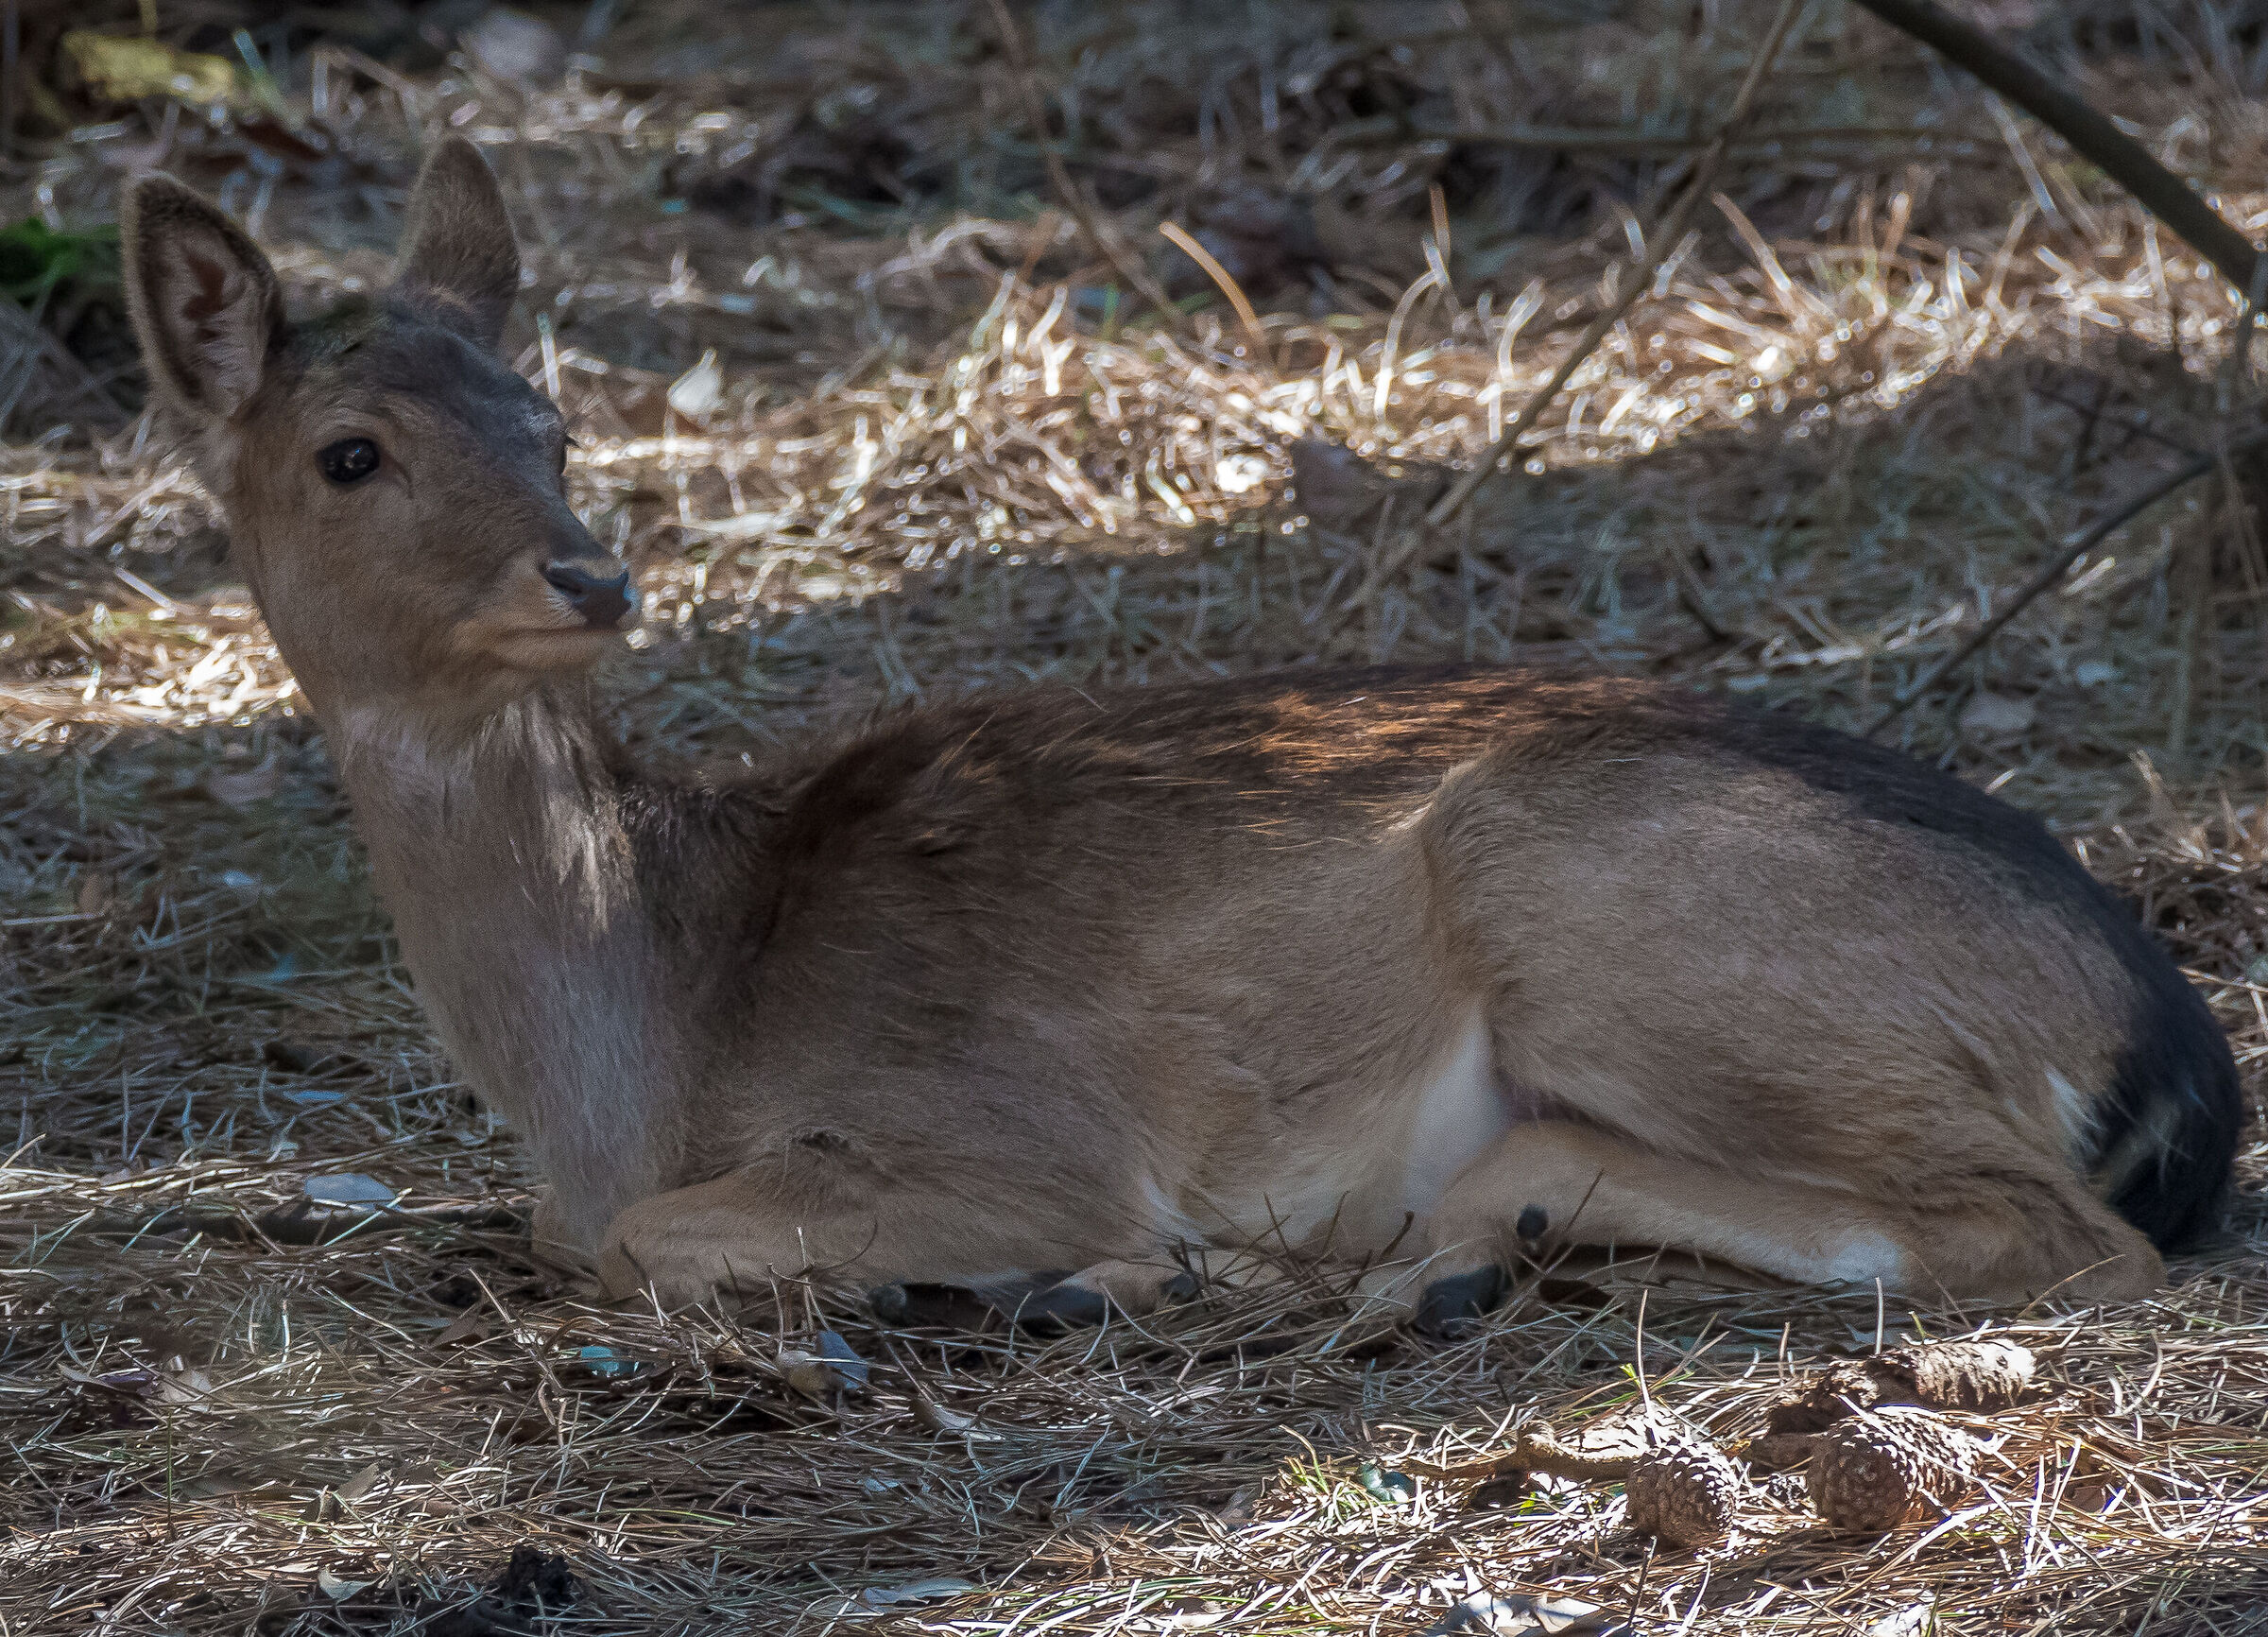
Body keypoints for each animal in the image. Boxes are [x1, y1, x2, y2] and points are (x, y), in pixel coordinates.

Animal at [119, 137, 2238, 1331]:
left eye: (551, 420)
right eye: (352, 449)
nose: (589, 571)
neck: (658, 1030)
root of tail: (2160, 1032)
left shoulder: (996, 1125)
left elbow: (647, 1236)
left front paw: (1087, 1268)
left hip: (1633, 916)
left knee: (2051, 1231)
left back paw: (1371, 1253)